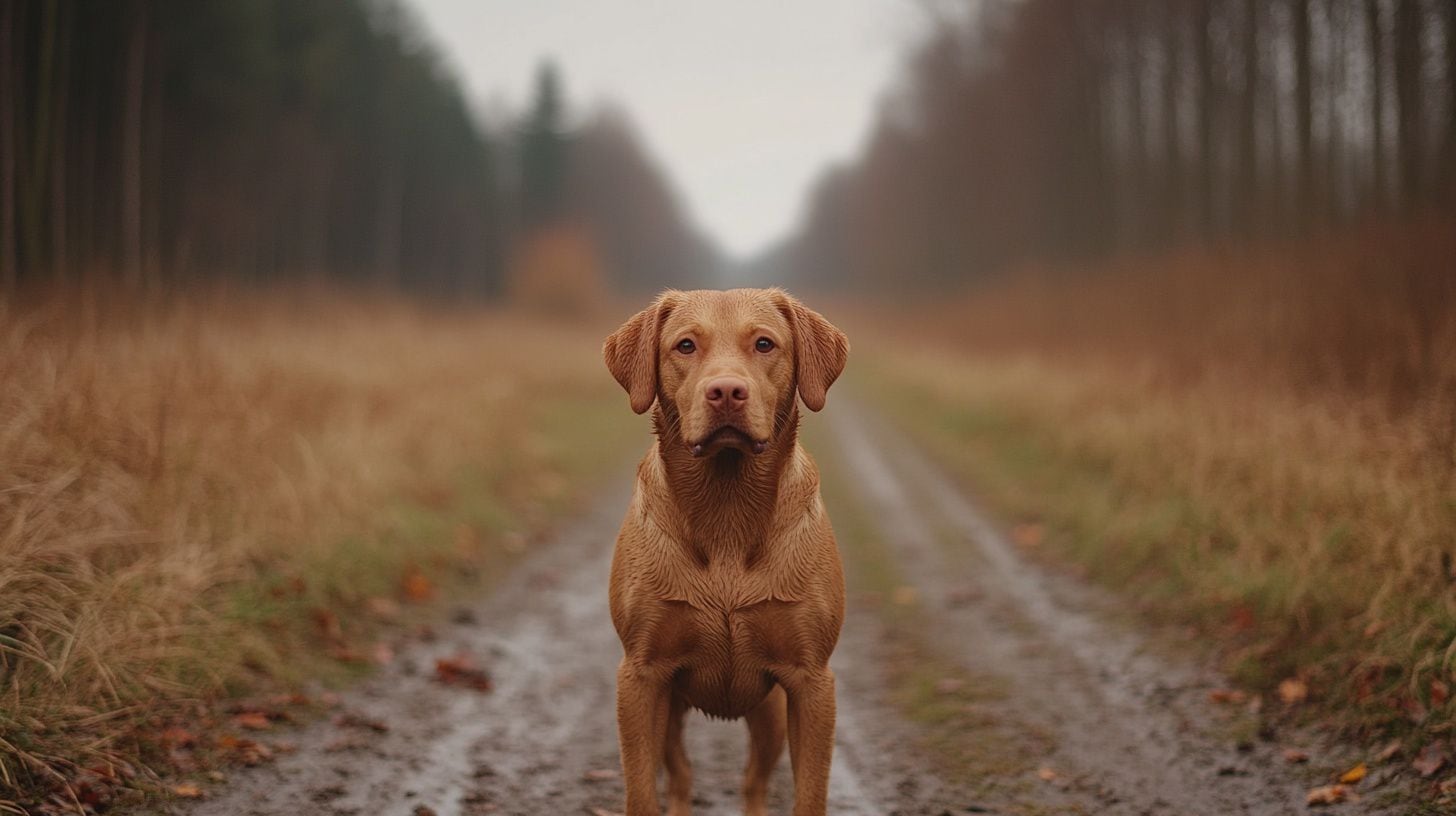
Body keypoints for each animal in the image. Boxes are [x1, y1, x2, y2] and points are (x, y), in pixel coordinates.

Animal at [605, 289, 850, 810]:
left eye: (764, 344)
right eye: (685, 345)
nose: (726, 392)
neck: (726, 510)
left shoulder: (812, 681)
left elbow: (809, 795)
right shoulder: (640, 677)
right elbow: (641, 793)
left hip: (770, 716)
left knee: (752, 783)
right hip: (672, 710)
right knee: (681, 778)